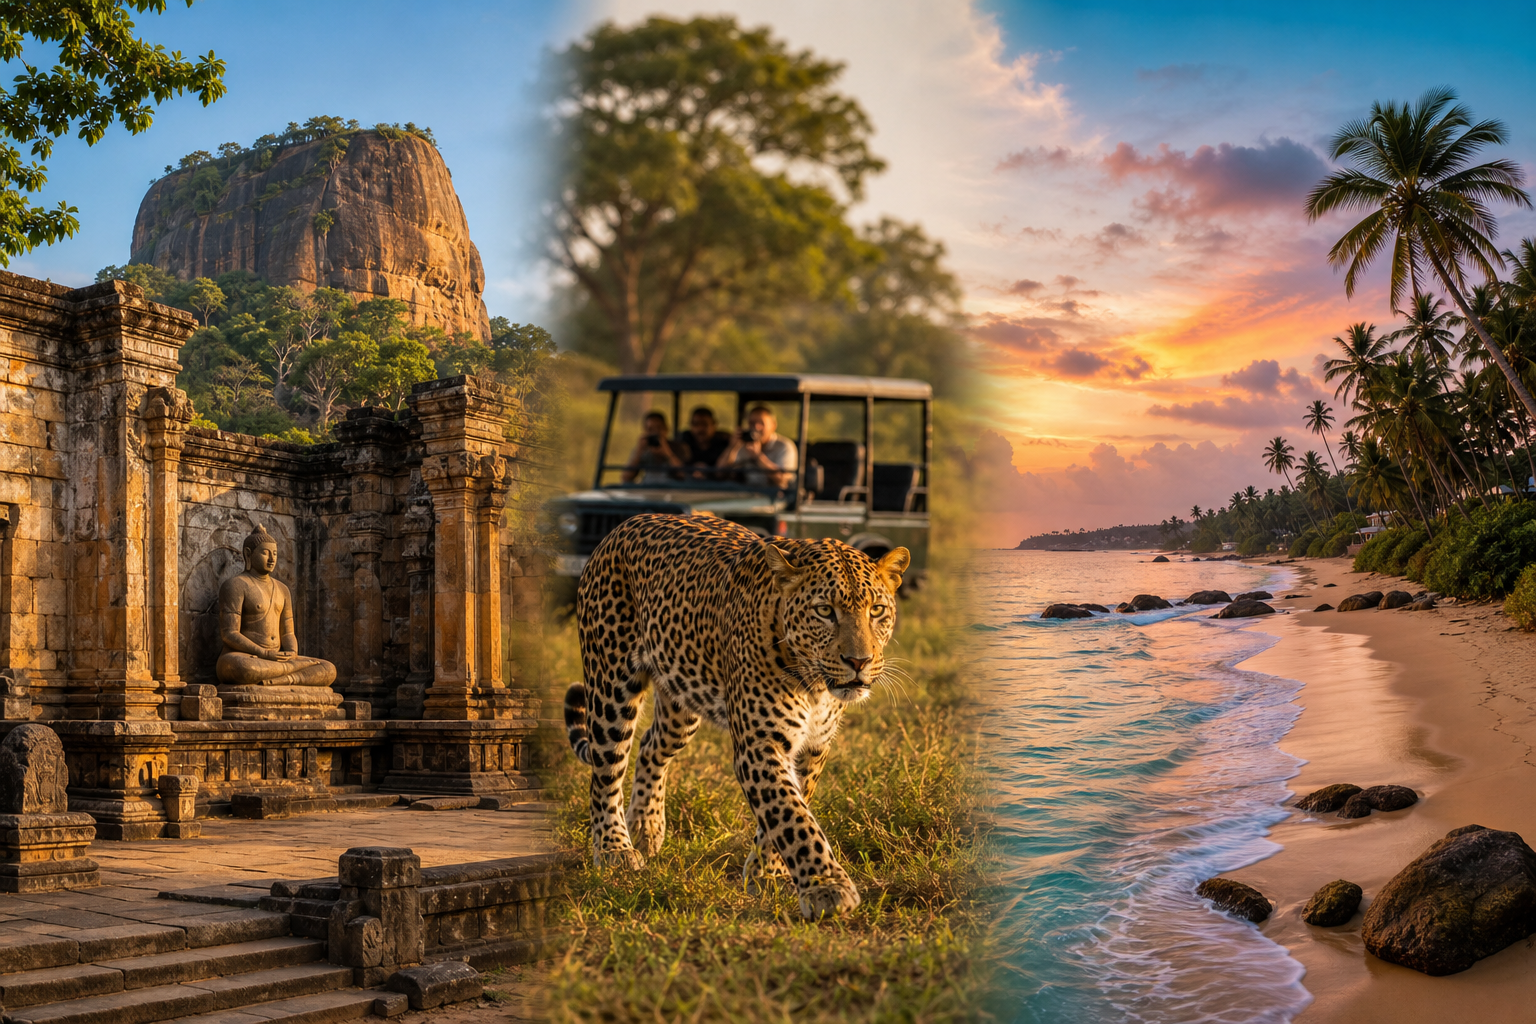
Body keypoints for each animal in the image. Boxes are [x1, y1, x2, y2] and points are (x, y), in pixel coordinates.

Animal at [564, 512, 910, 919]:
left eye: (877, 611)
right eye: (825, 611)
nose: (859, 662)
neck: (815, 686)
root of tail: (624, 525)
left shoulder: (813, 748)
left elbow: (787, 810)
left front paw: (765, 873)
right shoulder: (760, 744)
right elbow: (792, 817)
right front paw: (827, 888)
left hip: (681, 701)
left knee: (650, 747)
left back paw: (646, 828)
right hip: (611, 687)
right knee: (606, 773)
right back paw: (615, 849)